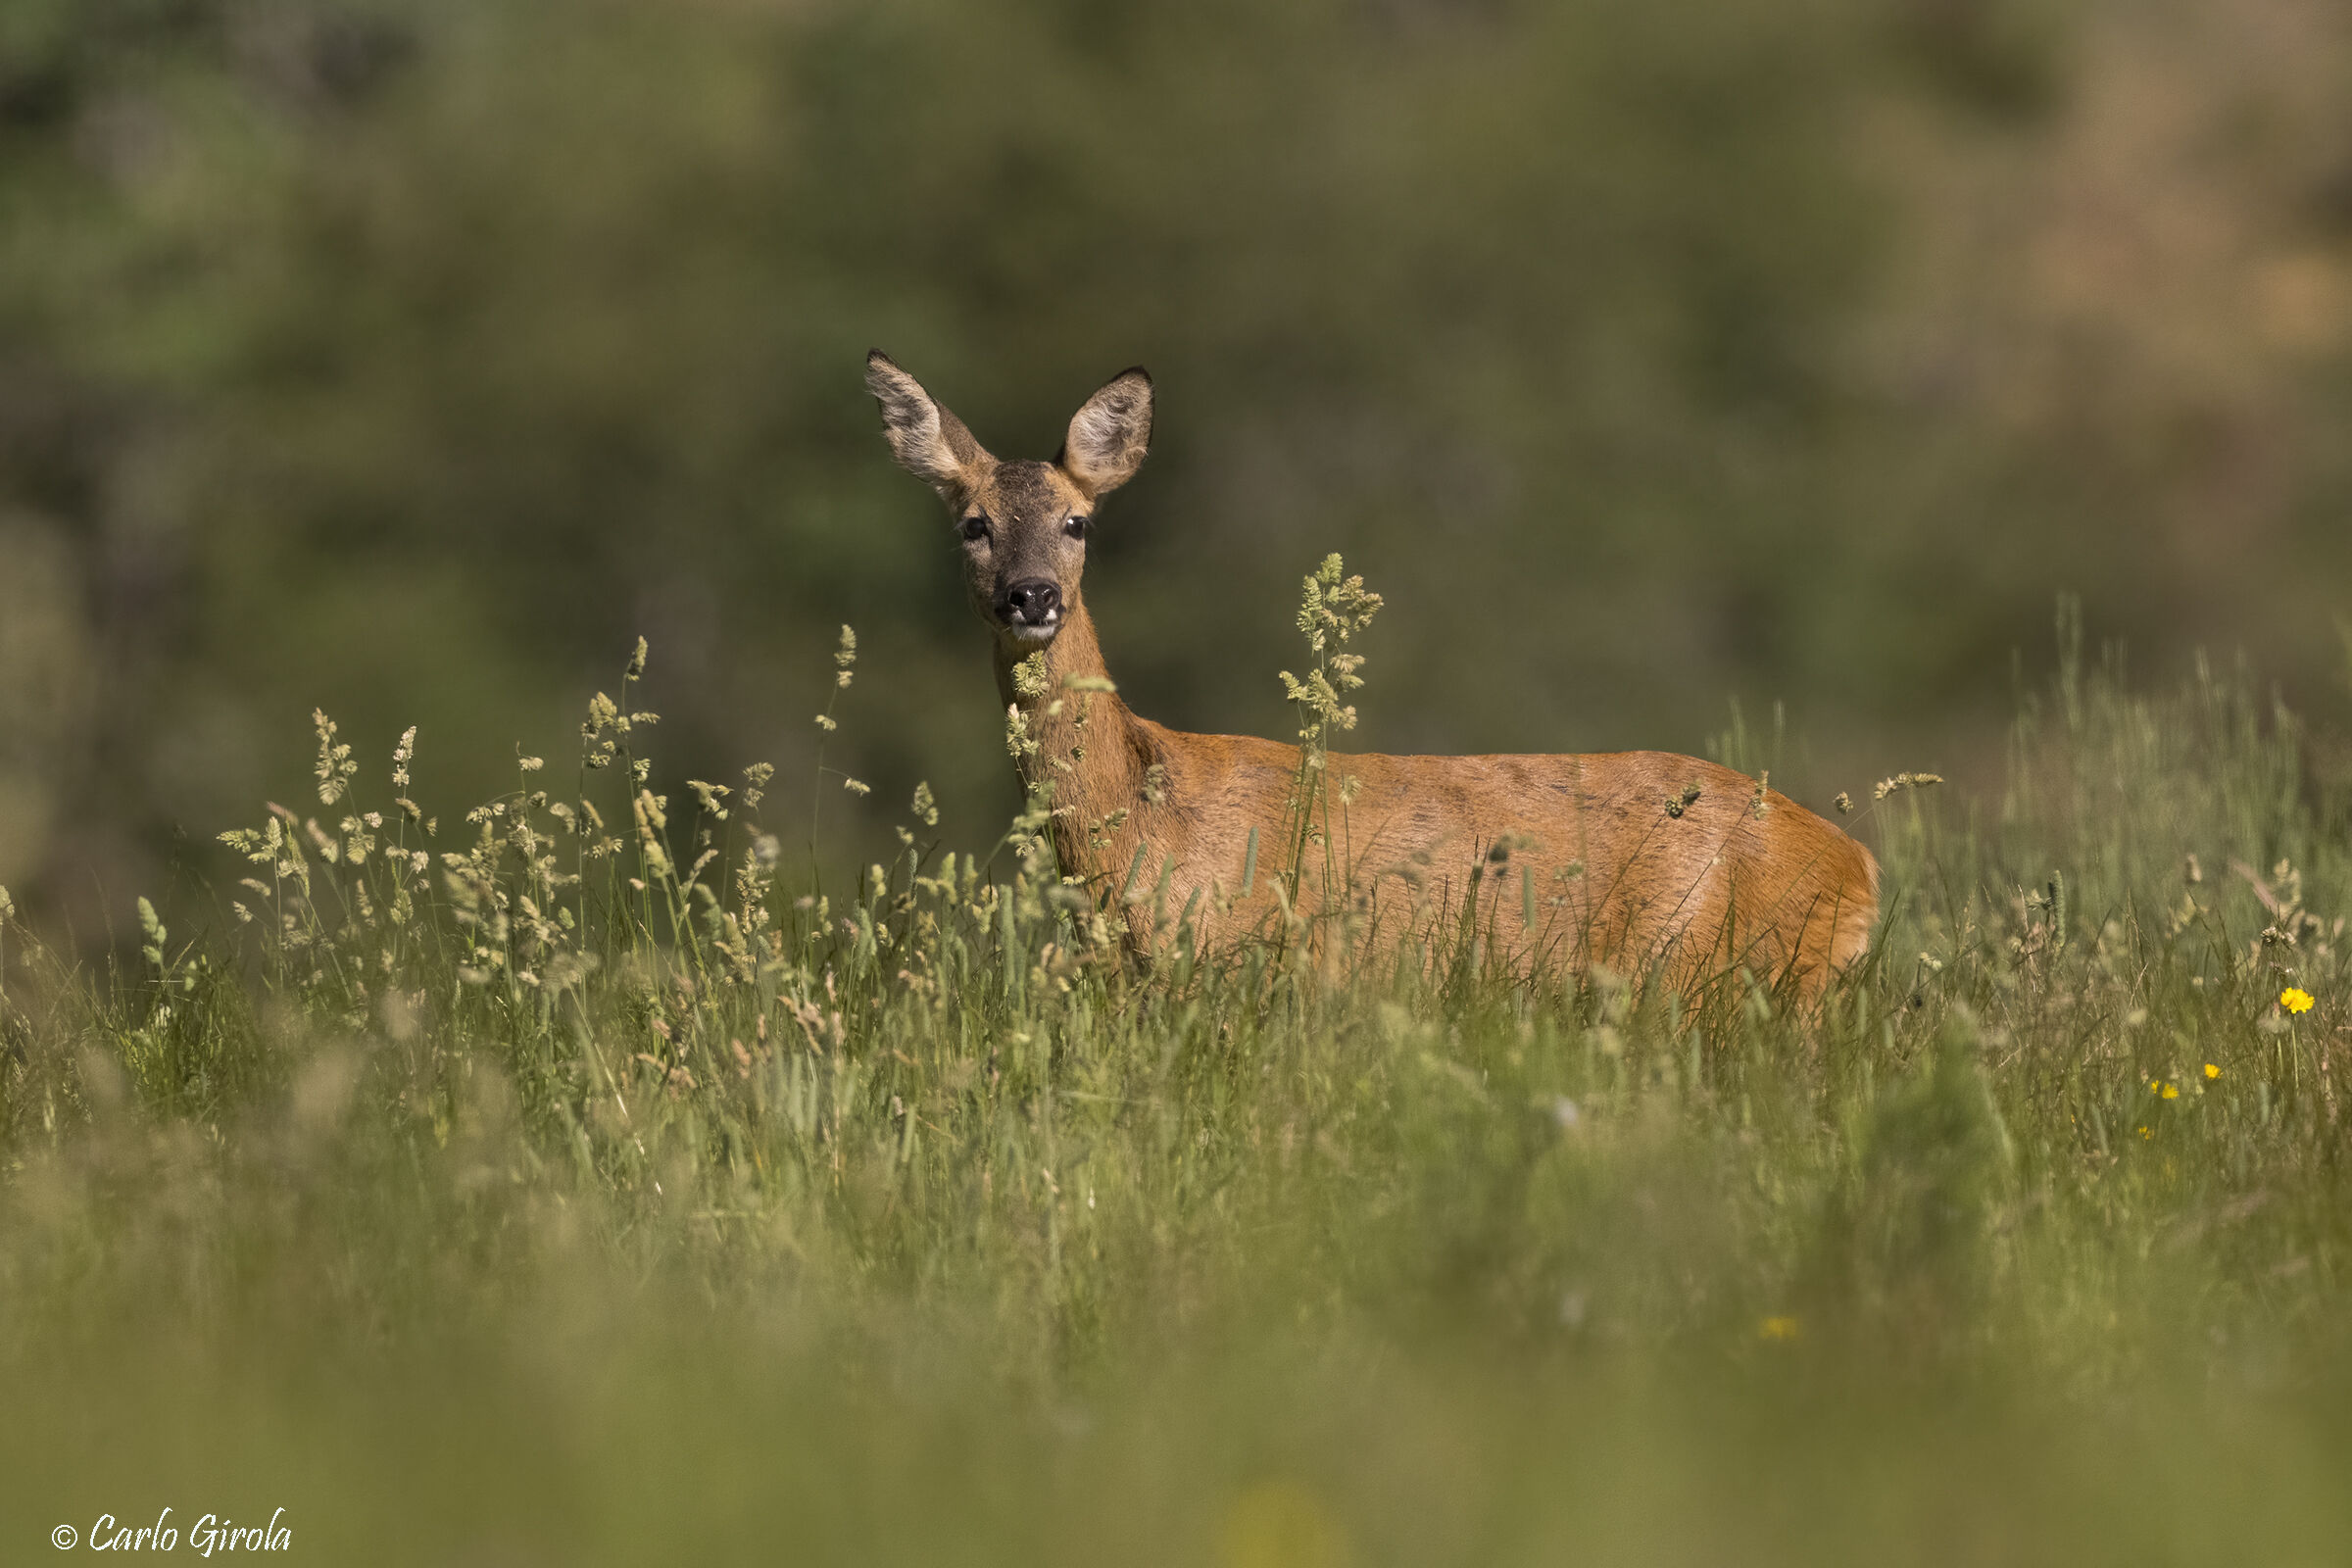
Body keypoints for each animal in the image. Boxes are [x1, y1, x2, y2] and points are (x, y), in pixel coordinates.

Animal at [865, 351, 1878, 1006]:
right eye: (974, 525)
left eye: (1077, 522)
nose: (1031, 596)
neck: (1143, 822)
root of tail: (1858, 867)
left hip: (1728, 981)